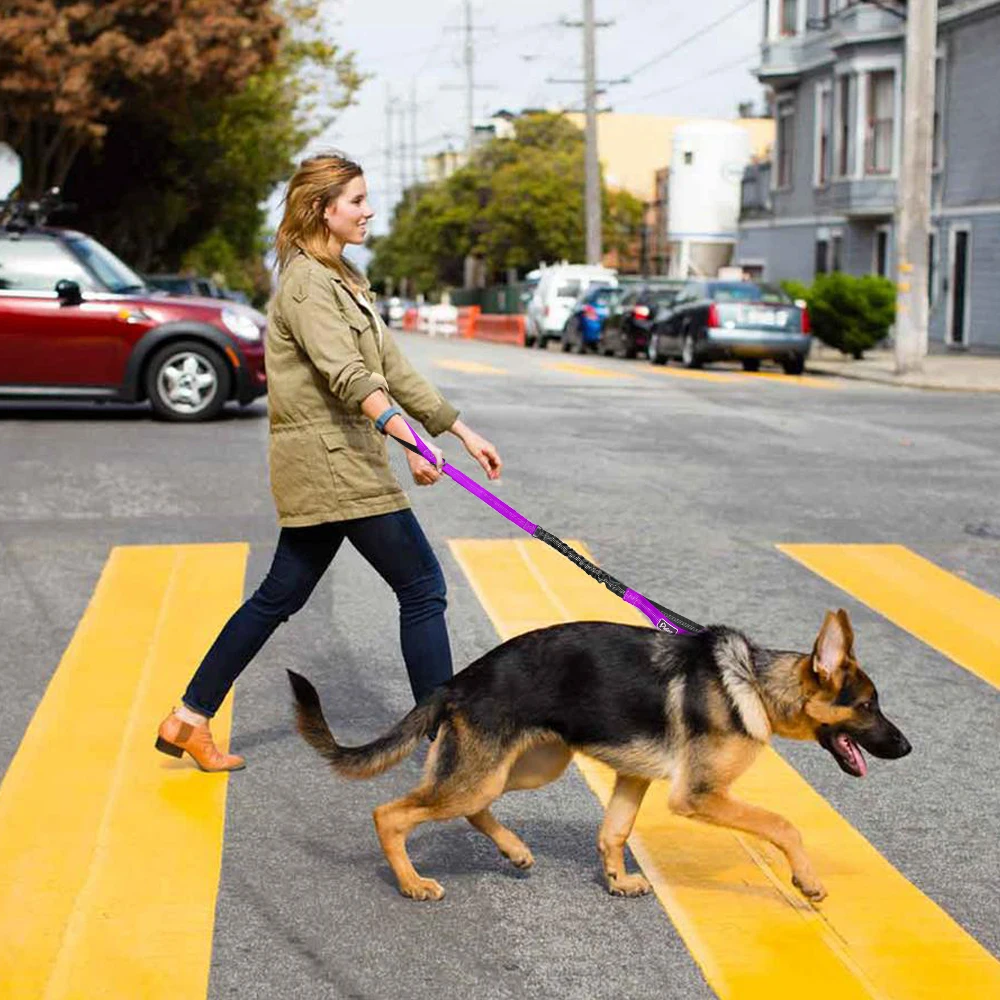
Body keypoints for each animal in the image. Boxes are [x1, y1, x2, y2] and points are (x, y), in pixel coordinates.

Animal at [286, 604, 912, 904]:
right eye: (869, 705)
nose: (908, 748)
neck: (754, 685)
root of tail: (456, 681)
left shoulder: (634, 778)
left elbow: (614, 831)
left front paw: (617, 880)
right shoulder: (699, 796)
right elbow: (782, 824)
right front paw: (806, 880)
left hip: (528, 767)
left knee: (467, 807)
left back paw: (514, 849)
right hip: (484, 774)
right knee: (389, 814)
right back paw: (413, 883)